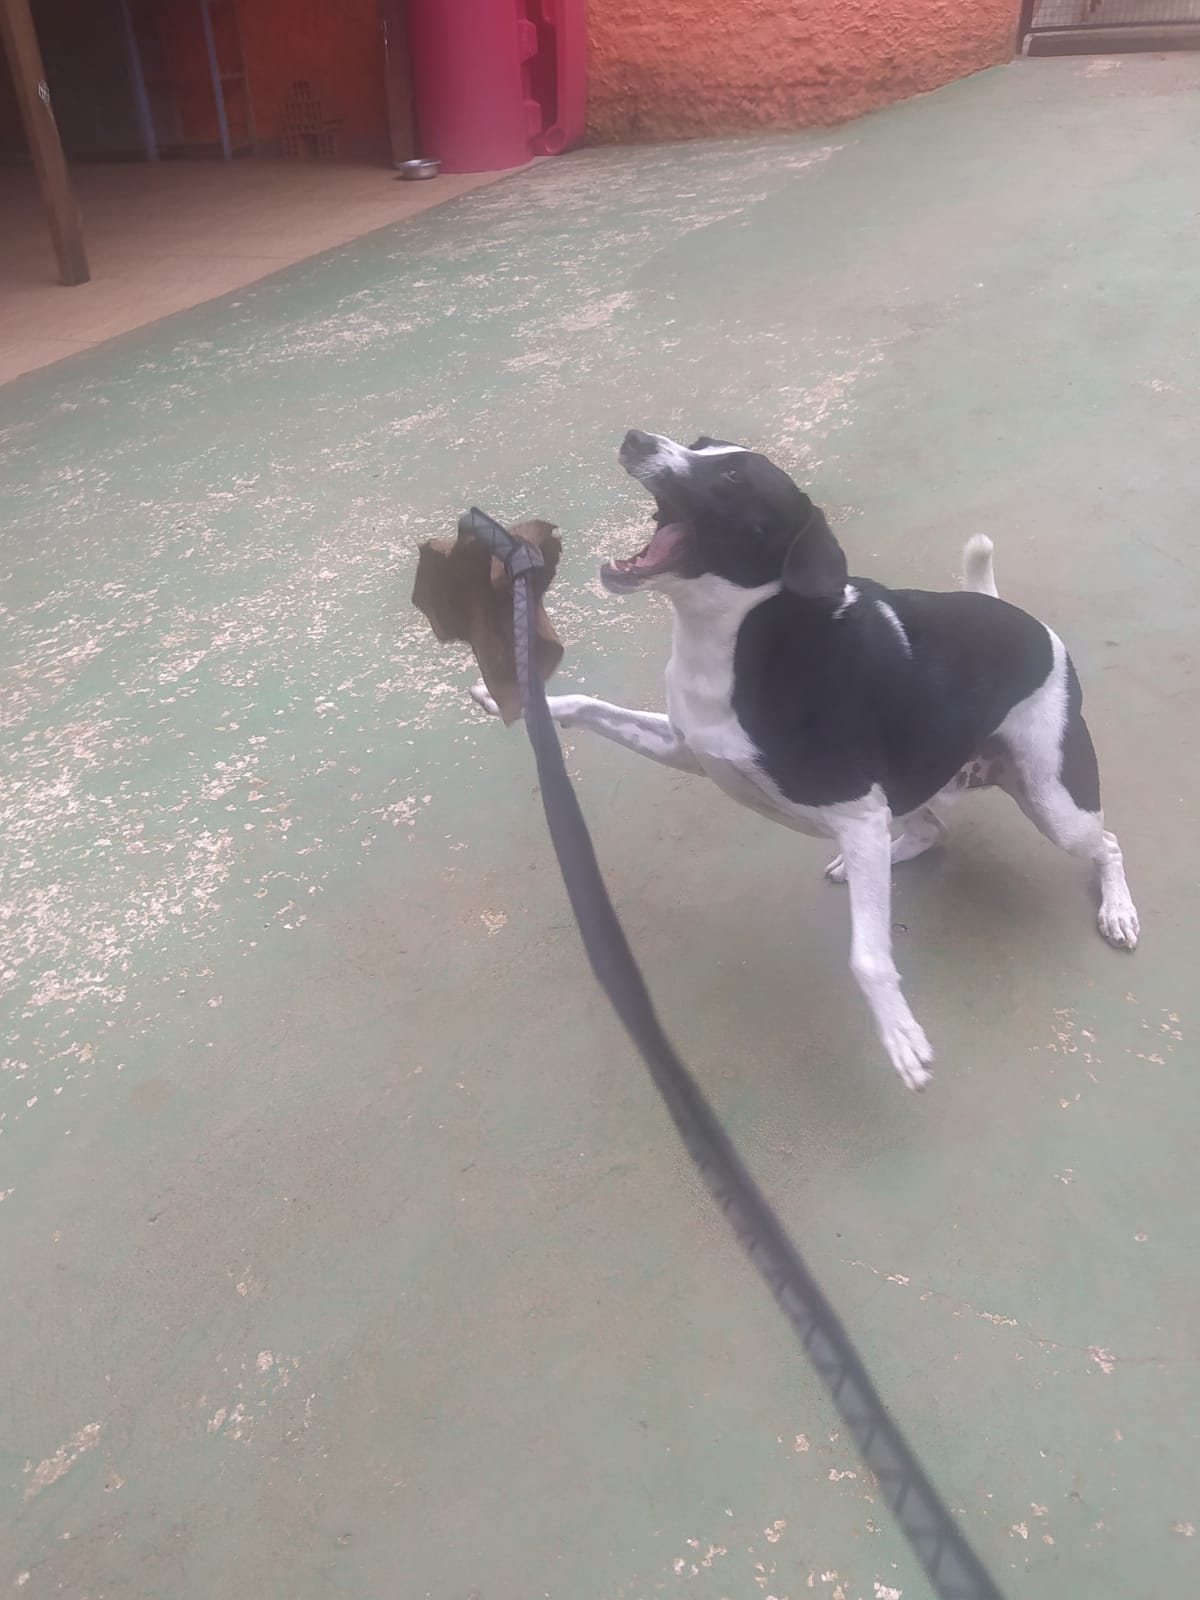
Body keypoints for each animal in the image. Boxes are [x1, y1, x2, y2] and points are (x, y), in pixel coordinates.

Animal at [471, 431, 1139, 1091]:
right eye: (699, 443)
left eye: (734, 477)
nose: (637, 438)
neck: (738, 639)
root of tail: (1021, 619)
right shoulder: (691, 749)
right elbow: (591, 705)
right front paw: (518, 699)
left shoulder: (858, 810)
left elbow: (868, 956)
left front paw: (900, 1034)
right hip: (913, 789)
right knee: (931, 828)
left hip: (1054, 804)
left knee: (1106, 844)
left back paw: (1118, 910)